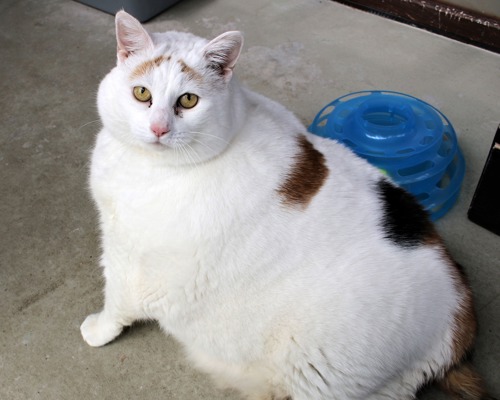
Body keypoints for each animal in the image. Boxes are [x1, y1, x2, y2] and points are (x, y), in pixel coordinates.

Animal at [80, 10, 494, 400]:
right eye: (141, 93)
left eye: (188, 100)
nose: (159, 129)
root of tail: (459, 325)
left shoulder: (130, 259)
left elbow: (117, 302)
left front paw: (98, 330)